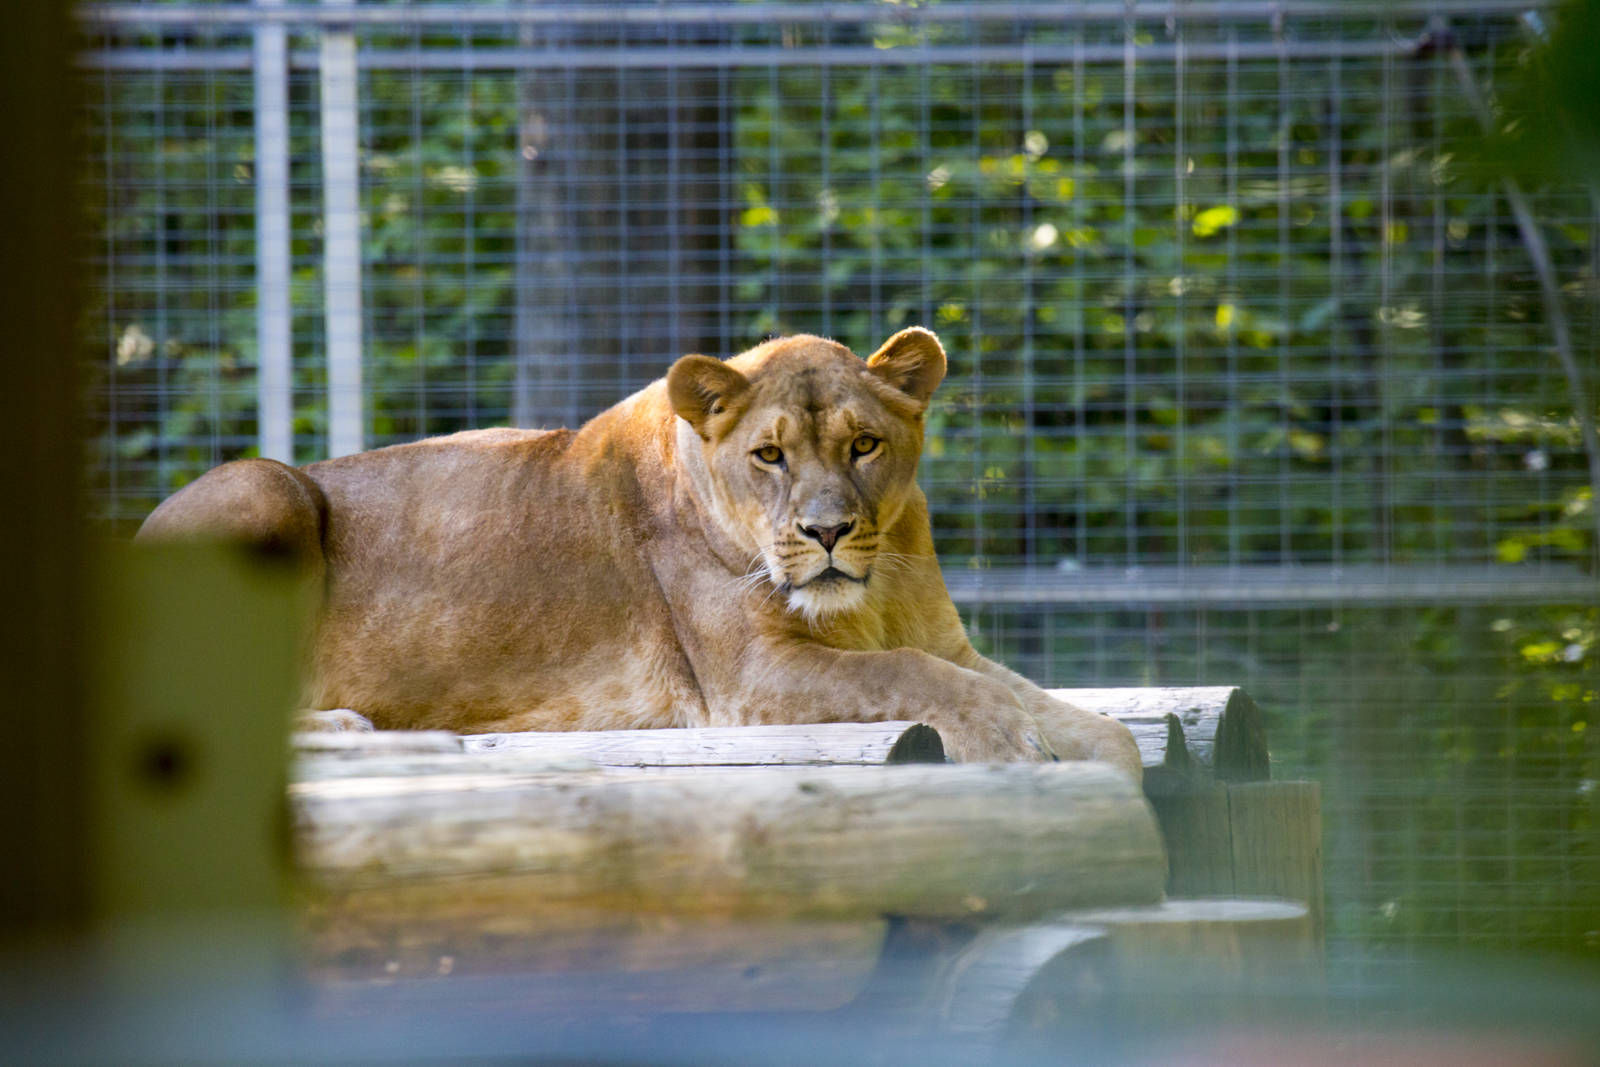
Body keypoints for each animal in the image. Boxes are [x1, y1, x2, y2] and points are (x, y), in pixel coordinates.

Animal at [137, 328, 1140, 776]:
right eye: (769, 455)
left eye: (864, 445)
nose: (824, 532)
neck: (873, 588)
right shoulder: (751, 678)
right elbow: (909, 675)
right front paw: (1002, 741)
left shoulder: (947, 642)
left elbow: (1098, 725)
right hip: (264, 487)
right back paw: (355, 727)